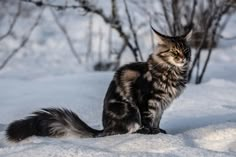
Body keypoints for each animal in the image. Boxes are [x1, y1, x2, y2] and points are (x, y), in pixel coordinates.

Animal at [6, 25, 193, 142]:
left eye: (186, 50)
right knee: (121, 131)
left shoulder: (161, 105)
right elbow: (148, 120)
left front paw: (159, 132)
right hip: (129, 111)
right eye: (174, 52)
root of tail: (103, 128)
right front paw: (151, 134)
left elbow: (157, 121)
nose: (184, 58)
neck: (171, 71)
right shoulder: (147, 100)